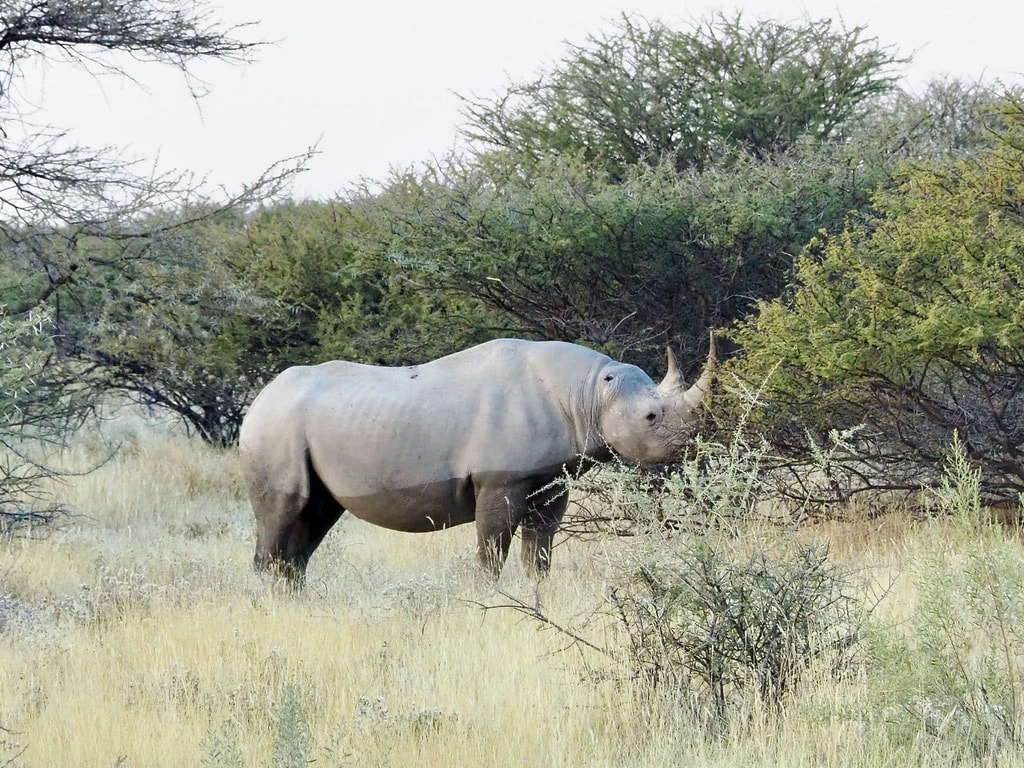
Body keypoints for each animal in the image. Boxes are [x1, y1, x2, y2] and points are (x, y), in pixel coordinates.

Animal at [240, 335, 716, 581]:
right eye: (651, 417)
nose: (692, 442)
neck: (589, 392)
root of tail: (259, 398)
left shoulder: (551, 479)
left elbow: (538, 554)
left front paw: (536, 596)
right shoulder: (500, 479)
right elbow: (491, 555)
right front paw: (491, 600)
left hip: (295, 428)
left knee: (312, 519)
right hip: (274, 426)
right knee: (284, 513)